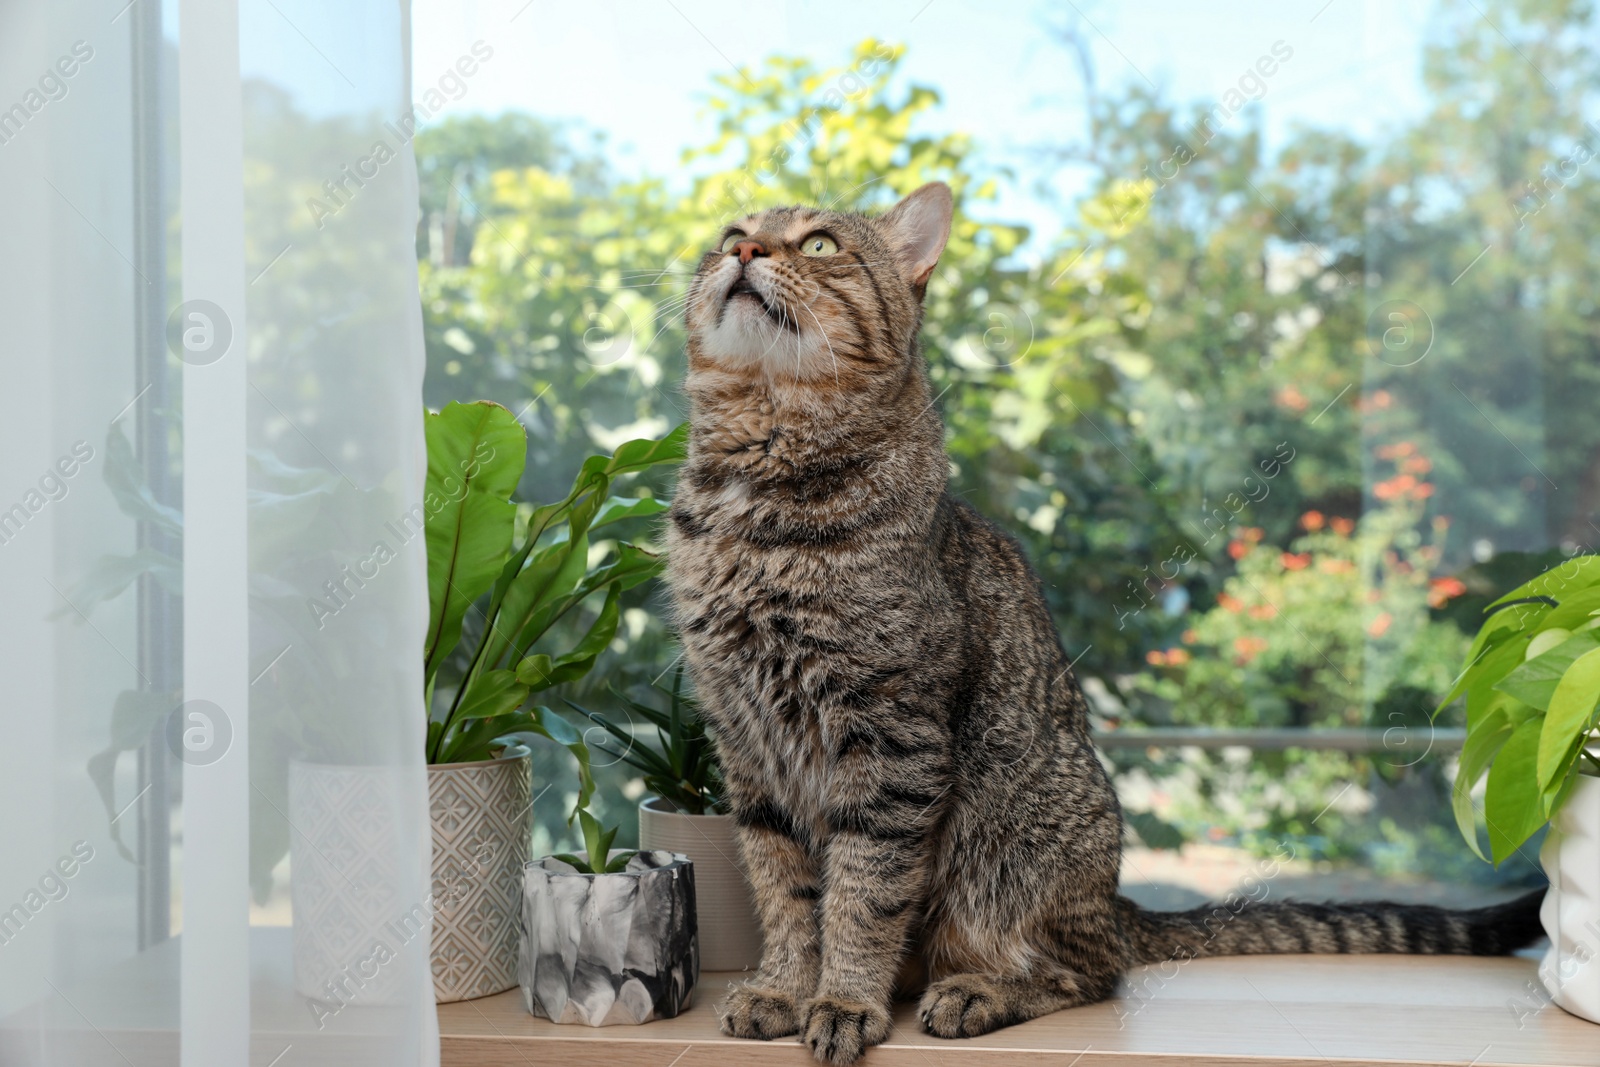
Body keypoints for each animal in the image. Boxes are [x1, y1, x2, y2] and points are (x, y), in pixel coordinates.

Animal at [659, 179, 1536, 1062]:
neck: (756, 492)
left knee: (1090, 970)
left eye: (818, 245)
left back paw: (977, 991)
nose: (743, 252)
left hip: (1009, 846)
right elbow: (784, 888)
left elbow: (863, 893)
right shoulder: (744, 745)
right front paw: (782, 985)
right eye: (731, 234)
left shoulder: (890, 737)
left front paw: (843, 998)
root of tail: (1115, 900)